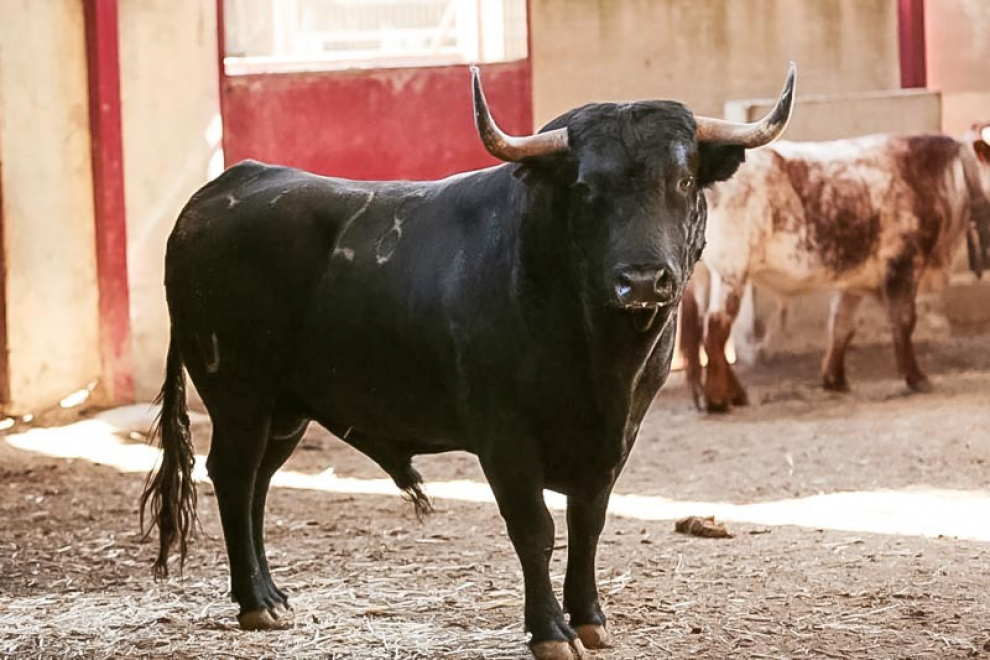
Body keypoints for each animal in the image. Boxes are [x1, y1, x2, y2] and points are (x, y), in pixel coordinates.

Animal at [141, 64, 800, 656]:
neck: (600, 356)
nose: (642, 280)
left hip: (286, 408)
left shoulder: (617, 436)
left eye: (684, 180)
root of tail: (220, 191)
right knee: (232, 476)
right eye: (586, 187)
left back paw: (273, 598)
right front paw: (551, 632)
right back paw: (255, 602)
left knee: (257, 483)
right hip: (239, 394)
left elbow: (587, 523)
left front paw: (590, 619)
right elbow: (535, 528)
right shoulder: (504, 435)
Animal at [680, 125, 990, 410]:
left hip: (701, 276)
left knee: (694, 329)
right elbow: (903, 321)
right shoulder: (903, 263)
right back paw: (718, 398)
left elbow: (841, 325)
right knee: (715, 328)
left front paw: (835, 379)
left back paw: (711, 394)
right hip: (729, 271)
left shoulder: (853, 278)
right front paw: (916, 377)